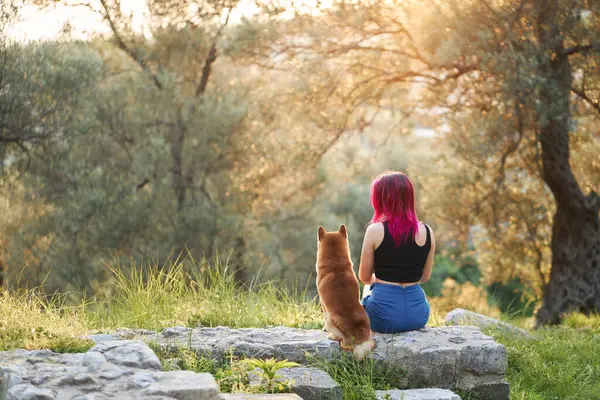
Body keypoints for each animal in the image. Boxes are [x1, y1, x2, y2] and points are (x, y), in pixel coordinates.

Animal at [314, 227, 376, 360]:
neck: (336, 266)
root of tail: (359, 336)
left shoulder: (323, 304)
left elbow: (323, 316)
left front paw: (324, 330)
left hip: (331, 321)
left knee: (341, 339)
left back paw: (331, 336)